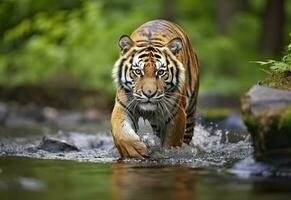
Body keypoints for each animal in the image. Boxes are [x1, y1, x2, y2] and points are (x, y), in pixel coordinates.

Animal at [110, 19, 200, 159]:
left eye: (161, 72)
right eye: (138, 71)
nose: (149, 94)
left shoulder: (176, 114)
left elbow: (171, 143)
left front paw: (169, 153)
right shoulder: (123, 106)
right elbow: (121, 131)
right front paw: (134, 150)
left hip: (190, 112)